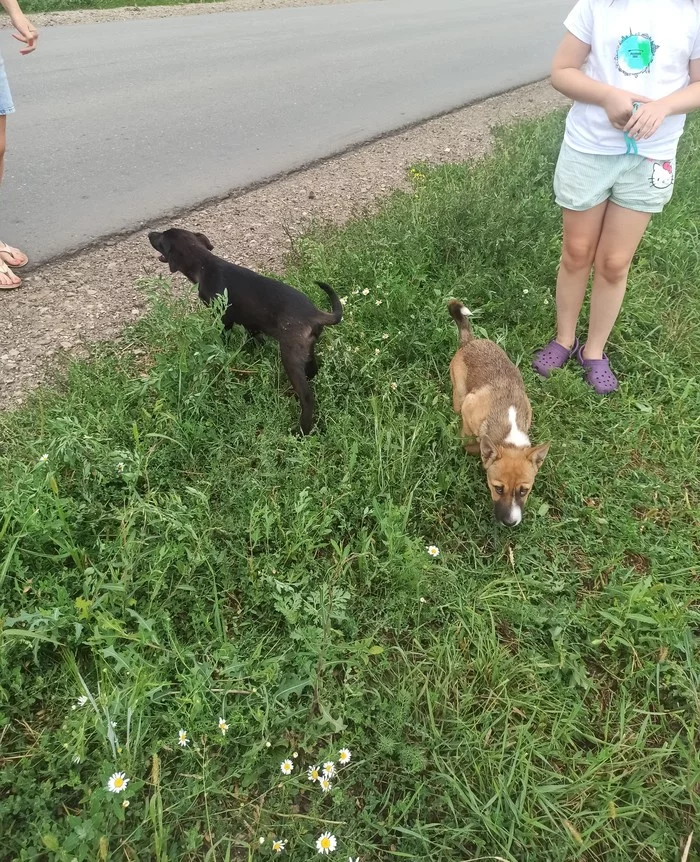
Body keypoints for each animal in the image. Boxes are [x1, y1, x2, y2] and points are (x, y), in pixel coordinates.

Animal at [150, 228, 342, 436]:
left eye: (161, 238)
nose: (150, 234)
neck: (204, 264)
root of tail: (315, 314)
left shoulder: (223, 320)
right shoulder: (252, 324)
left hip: (290, 356)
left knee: (307, 397)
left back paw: (301, 430)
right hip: (307, 352)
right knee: (312, 372)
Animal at [448, 300, 552, 528]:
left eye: (524, 491)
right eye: (497, 488)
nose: (510, 523)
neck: (508, 430)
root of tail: (470, 342)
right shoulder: (469, 408)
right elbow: (470, 441)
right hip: (459, 393)